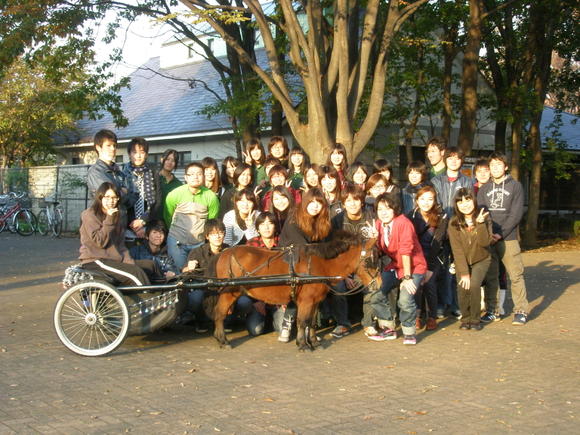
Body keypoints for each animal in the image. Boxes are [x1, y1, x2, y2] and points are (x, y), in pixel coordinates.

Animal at [212, 232, 380, 350]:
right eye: (370, 261)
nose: (379, 284)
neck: (320, 265)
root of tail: (225, 253)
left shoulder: (315, 301)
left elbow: (311, 323)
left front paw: (313, 342)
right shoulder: (306, 301)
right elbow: (302, 321)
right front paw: (303, 344)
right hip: (229, 293)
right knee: (219, 314)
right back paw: (223, 340)